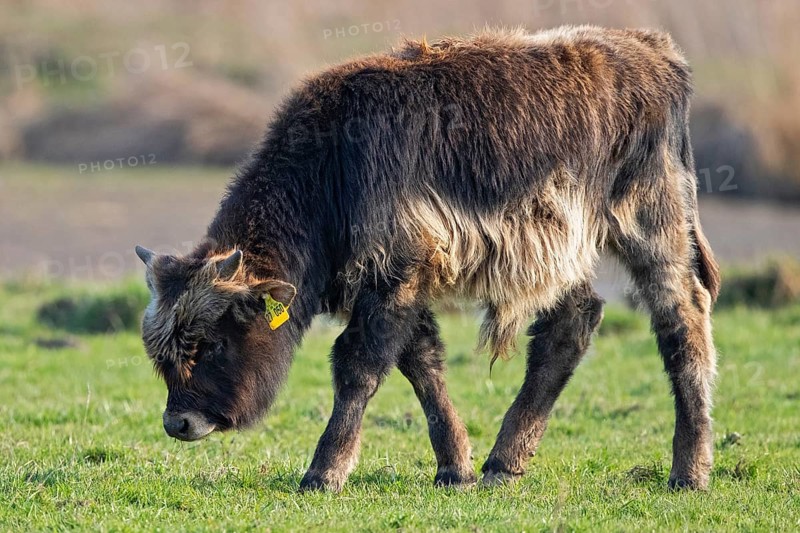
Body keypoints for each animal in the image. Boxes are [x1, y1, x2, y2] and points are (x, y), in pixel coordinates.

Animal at [135, 26, 720, 492]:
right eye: (162, 353)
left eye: (211, 343)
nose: (178, 424)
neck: (332, 164)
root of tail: (656, 51)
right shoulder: (399, 282)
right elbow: (422, 365)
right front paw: (455, 468)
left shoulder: (396, 274)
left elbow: (360, 366)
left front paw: (323, 473)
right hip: (561, 258)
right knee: (571, 324)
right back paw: (503, 463)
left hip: (653, 230)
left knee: (682, 323)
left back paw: (689, 472)